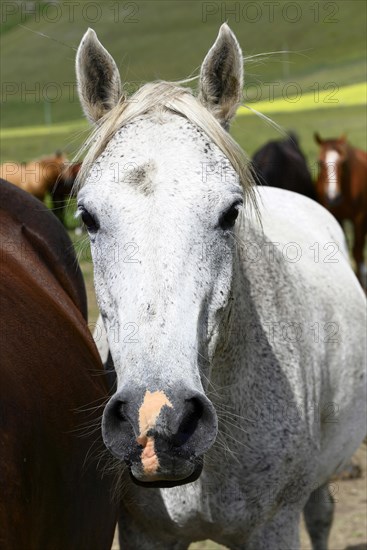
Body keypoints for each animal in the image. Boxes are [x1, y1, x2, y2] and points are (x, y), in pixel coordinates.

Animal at [314, 134, 367, 288]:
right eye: (320, 162)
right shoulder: (335, 216)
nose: (333, 197)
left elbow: (357, 252)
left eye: (343, 163)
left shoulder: (359, 218)